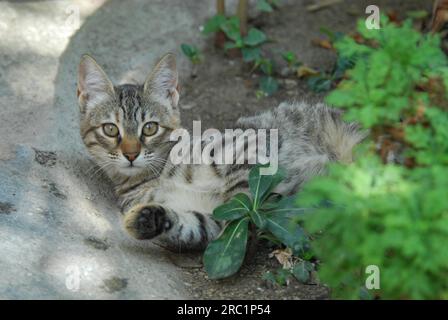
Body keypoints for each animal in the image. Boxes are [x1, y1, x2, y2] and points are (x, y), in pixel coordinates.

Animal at [76, 53, 364, 251]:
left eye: (150, 128)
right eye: (111, 129)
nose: (131, 154)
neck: (159, 174)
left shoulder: (251, 145)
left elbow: (240, 195)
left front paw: (251, 217)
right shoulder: (203, 218)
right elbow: (195, 225)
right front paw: (147, 220)